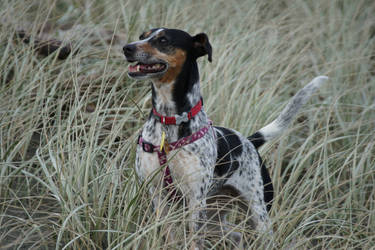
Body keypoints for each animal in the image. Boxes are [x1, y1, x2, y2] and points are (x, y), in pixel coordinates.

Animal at [124, 27, 328, 248]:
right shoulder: (157, 194)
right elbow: (168, 236)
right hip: (215, 217)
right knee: (236, 235)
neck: (169, 121)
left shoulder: (196, 200)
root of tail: (249, 142)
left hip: (259, 215)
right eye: (143, 35)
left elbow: (194, 240)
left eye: (163, 40)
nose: (127, 48)